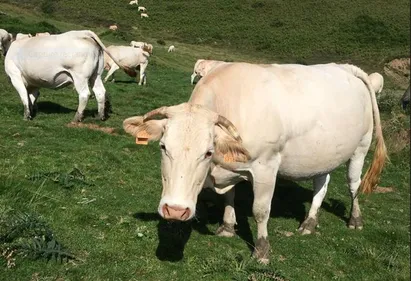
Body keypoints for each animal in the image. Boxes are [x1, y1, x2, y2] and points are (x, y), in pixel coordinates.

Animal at [124, 62, 388, 264]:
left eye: (208, 152)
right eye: (163, 147)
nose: (176, 211)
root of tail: (346, 67)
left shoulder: (266, 166)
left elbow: (260, 211)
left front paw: (262, 250)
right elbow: (228, 198)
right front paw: (227, 227)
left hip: (361, 146)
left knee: (353, 184)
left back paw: (355, 220)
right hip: (322, 155)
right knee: (321, 184)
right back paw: (309, 223)